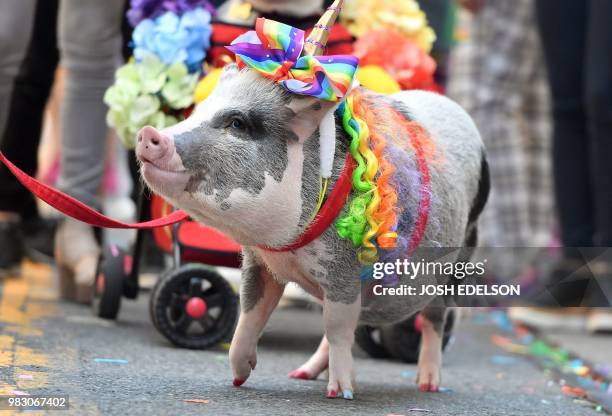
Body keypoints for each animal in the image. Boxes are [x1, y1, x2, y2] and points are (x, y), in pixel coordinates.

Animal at [136, 64, 490, 400]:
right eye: (198, 110)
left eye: (237, 123)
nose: (148, 133)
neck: (289, 249)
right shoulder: (261, 264)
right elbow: (249, 316)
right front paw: (238, 379)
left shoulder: (343, 271)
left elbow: (336, 329)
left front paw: (341, 394)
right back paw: (301, 374)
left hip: (457, 263)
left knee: (433, 321)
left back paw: (428, 385)